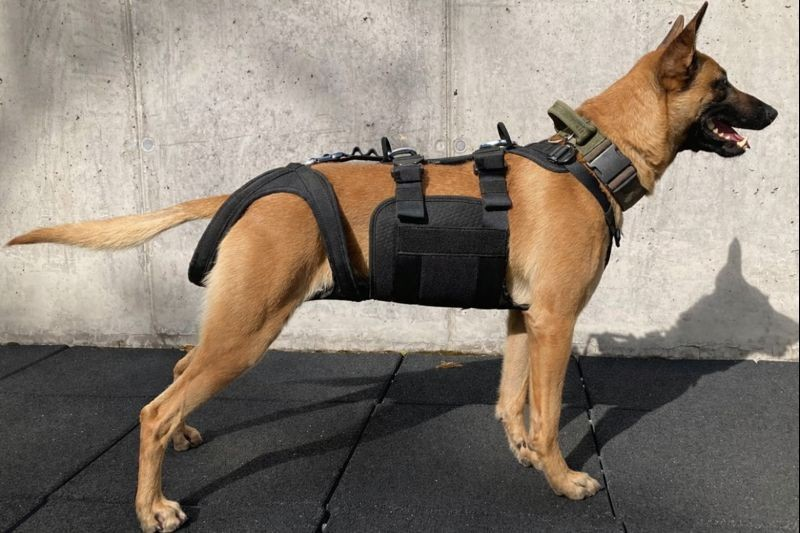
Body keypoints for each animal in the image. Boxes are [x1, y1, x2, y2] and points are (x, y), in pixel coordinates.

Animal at [6, 3, 778, 532]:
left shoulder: (524, 319)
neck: (591, 157)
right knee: (154, 409)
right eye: (723, 84)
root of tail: (245, 194)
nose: (773, 111)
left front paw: (528, 457)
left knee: (175, 376)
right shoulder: (556, 321)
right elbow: (549, 413)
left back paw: (188, 438)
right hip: (248, 331)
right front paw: (563, 480)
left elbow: (513, 402)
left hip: (234, 321)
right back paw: (153, 505)